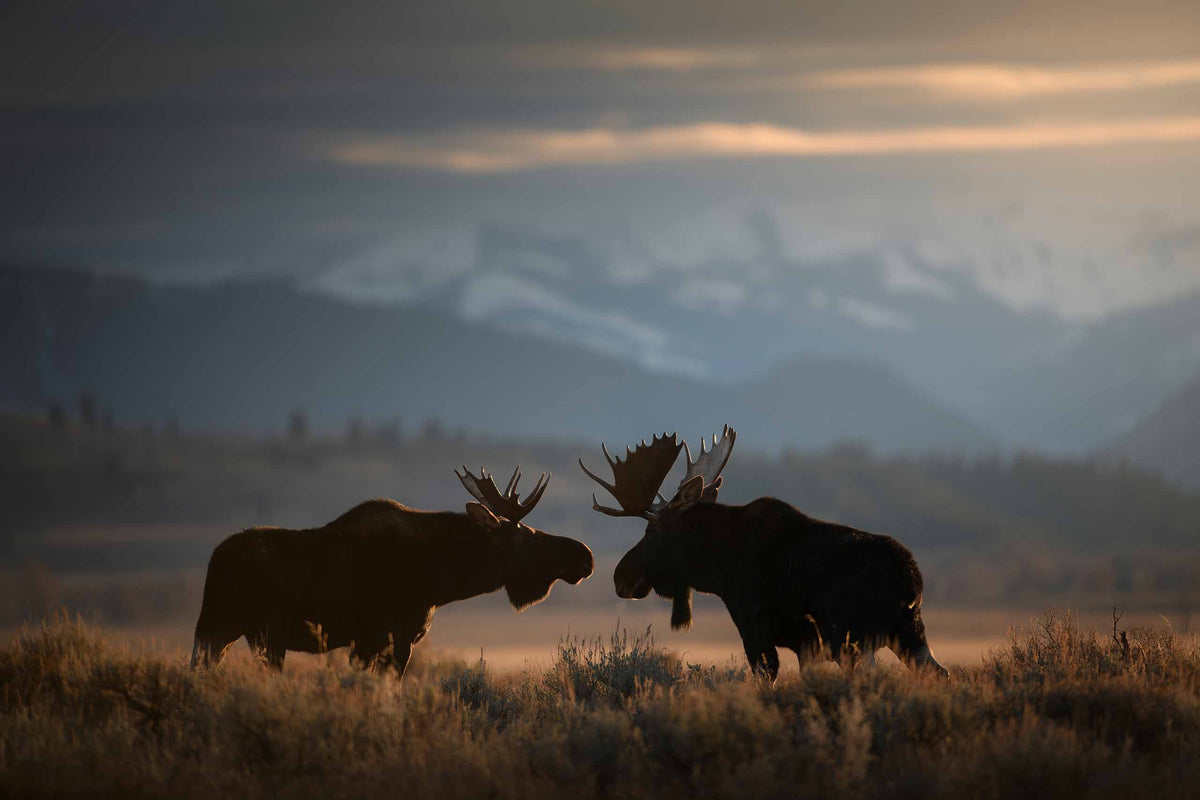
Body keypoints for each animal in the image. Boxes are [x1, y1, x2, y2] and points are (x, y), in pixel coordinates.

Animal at [191, 466, 593, 678]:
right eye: (527, 535)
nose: (585, 555)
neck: (441, 581)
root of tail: (214, 560)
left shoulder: (387, 641)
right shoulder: (385, 638)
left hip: (222, 630)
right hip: (258, 634)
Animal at [581, 426, 947, 681]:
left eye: (650, 533)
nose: (620, 576)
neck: (716, 570)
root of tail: (911, 580)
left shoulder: (754, 625)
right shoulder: (804, 645)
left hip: (851, 636)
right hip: (909, 632)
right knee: (939, 673)